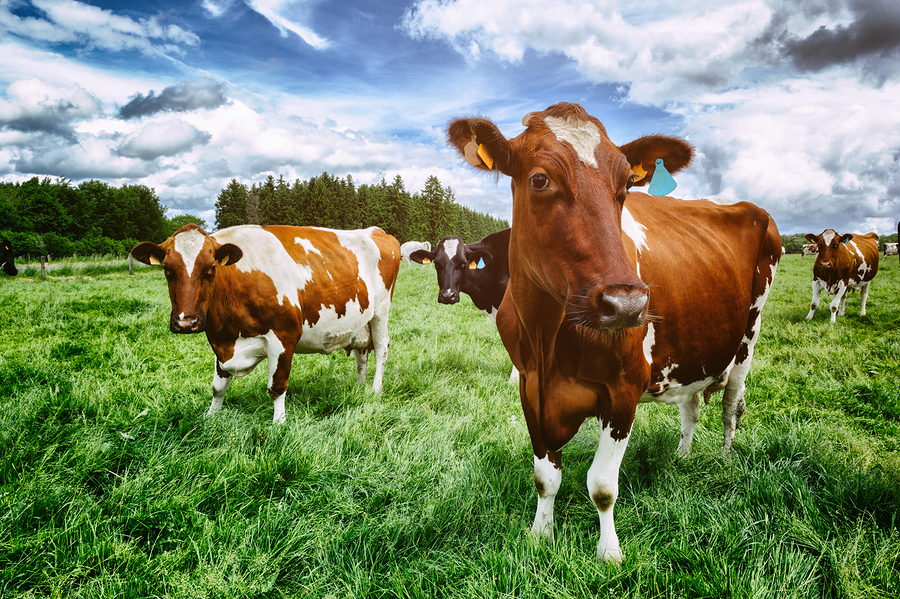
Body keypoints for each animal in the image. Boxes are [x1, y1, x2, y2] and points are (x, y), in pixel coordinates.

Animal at [131, 223, 400, 424]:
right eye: (167, 270)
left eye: (211, 269)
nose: (186, 322)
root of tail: (376, 231)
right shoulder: (221, 342)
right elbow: (218, 386)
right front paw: (211, 416)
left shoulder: (283, 336)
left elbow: (277, 386)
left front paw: (279, 423)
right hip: (360, 322)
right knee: (361, 355)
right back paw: (359, 387)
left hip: (381, 312)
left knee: (381, 349)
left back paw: (375, 390)